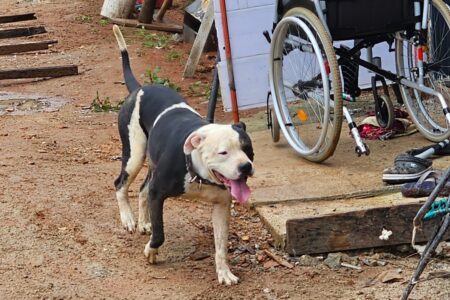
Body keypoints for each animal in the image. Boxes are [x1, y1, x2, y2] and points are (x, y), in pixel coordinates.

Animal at [112, 24, 255, 284]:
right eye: (223, 152)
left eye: (247, 149)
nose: (245, 167)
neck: (199, 173)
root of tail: (139, 88)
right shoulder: (159, 193)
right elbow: (160, 233)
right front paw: (151, 251)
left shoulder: (222, 206)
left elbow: (221, 246)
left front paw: (224, 272)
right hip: (134, 155)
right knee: (121, 184)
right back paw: (128, 219)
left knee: (142, 189)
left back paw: (143, 222)